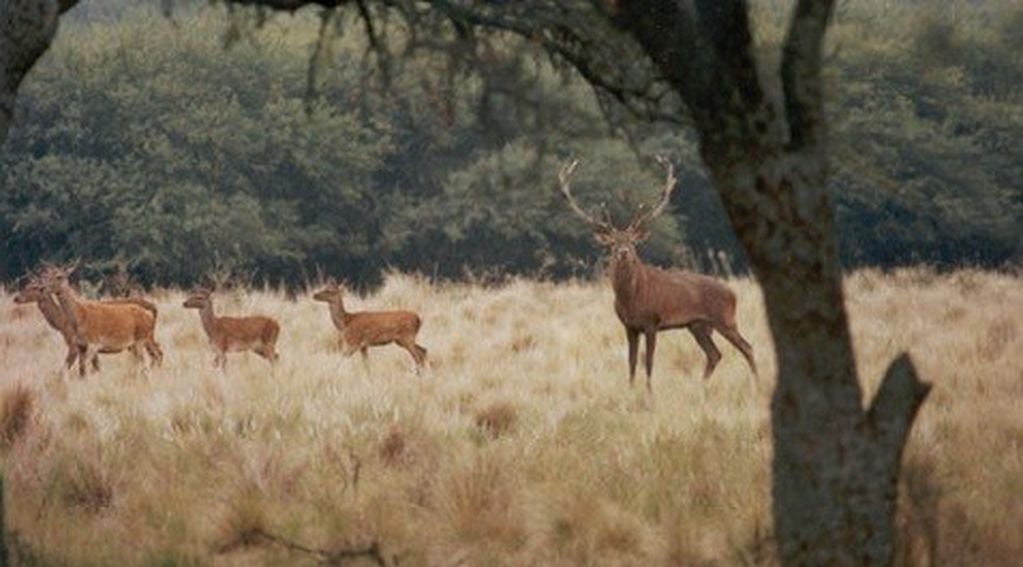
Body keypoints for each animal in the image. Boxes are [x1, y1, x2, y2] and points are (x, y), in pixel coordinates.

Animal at [14, 270, 157, 368]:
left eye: (33, 287)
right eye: (26, 285)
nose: (16, 298)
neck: (61, 323)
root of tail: (154, 308)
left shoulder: (74, 343)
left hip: (145, 337)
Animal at [556, 156, 757, 390]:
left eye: (632, 242)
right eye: (613, 243)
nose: (623, 252)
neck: (631, 300)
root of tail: (733, 294)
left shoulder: (652, 322)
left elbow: (649, 361)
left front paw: (649, 392)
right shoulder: (629, 326)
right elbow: (632, 361)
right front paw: (630, 389)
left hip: (725, 318)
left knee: (747, 347)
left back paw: (757, 383)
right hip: (697, 325)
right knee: (715, 354)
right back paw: (702, 386)